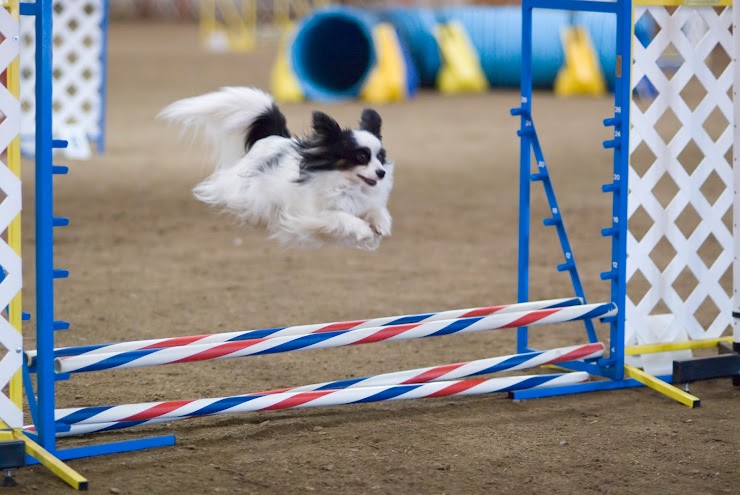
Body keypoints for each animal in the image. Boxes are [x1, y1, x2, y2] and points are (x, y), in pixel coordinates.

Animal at [160, 86, 396, 252]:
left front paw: (381, 226)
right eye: (361, 157)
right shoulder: (314, 215)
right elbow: (343, 217)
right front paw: (364, 231)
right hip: (246, 189)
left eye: (380, 157)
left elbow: (377, 210)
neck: (347, 184)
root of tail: (273, 136)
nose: (381, 173)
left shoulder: (365, 202)